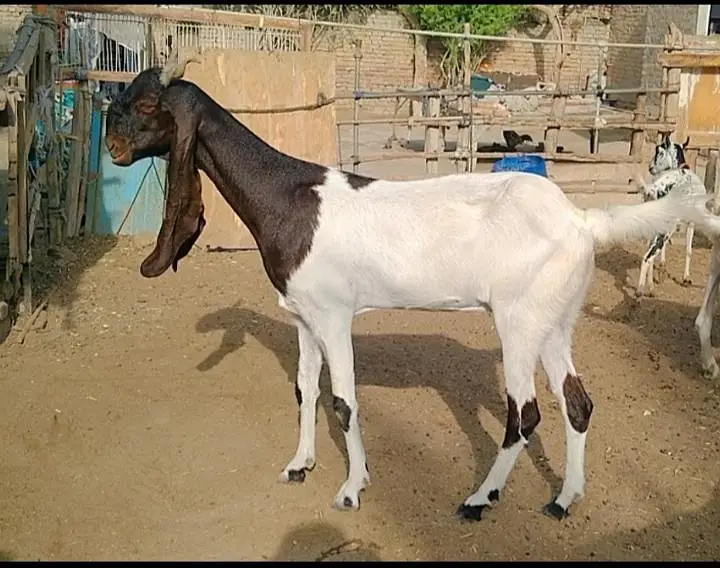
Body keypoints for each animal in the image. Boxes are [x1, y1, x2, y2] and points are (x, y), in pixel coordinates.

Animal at [634, 135, 707, 298]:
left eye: (659, 152)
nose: (650, 167)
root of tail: (653, 189)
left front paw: (661, 271)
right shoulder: (691, 223)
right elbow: (689, 250)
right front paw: (686, 278)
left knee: (650, 255)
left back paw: (650, 288)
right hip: (665, 228)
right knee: (647, 257)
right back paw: (639, 291)